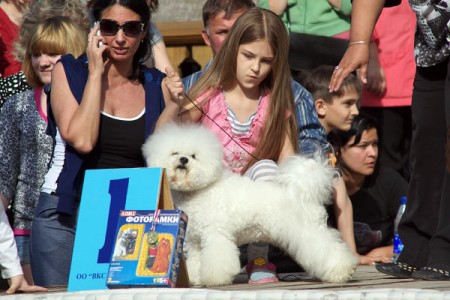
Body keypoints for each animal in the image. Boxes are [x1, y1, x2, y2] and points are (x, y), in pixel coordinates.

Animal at [142, 123, 356, 286]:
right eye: (175, 153)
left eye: (194, 156)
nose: (183, 160)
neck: (200, 190)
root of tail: (301, 190)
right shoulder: (194, 241)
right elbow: (195, 261)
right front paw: (195, 279)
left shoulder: (216, 234)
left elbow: (216, 260)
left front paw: (214, 279)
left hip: (308, 232)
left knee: (328, 249)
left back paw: (341, 272)